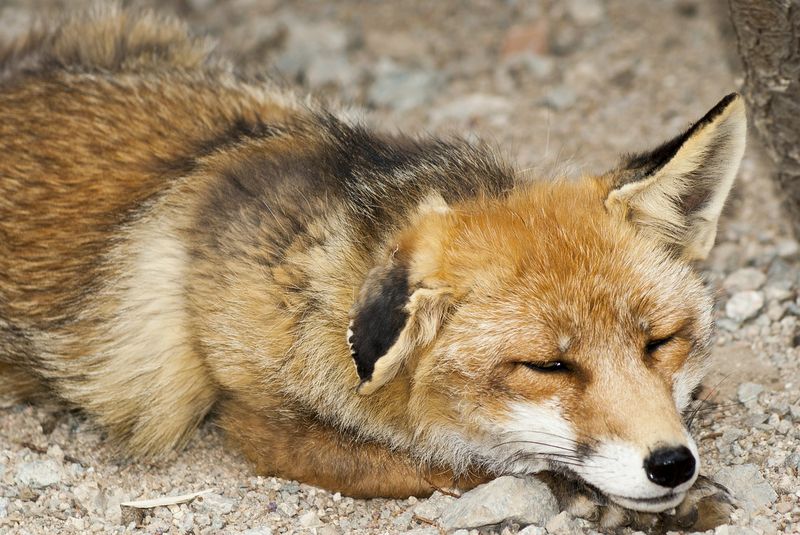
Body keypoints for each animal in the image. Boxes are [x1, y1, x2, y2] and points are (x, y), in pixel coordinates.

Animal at [0, 4, 746, 531]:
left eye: (660, 342)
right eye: (547, 366)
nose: (671, 464)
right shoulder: (257, 419)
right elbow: (447, 462)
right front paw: (593, 497)